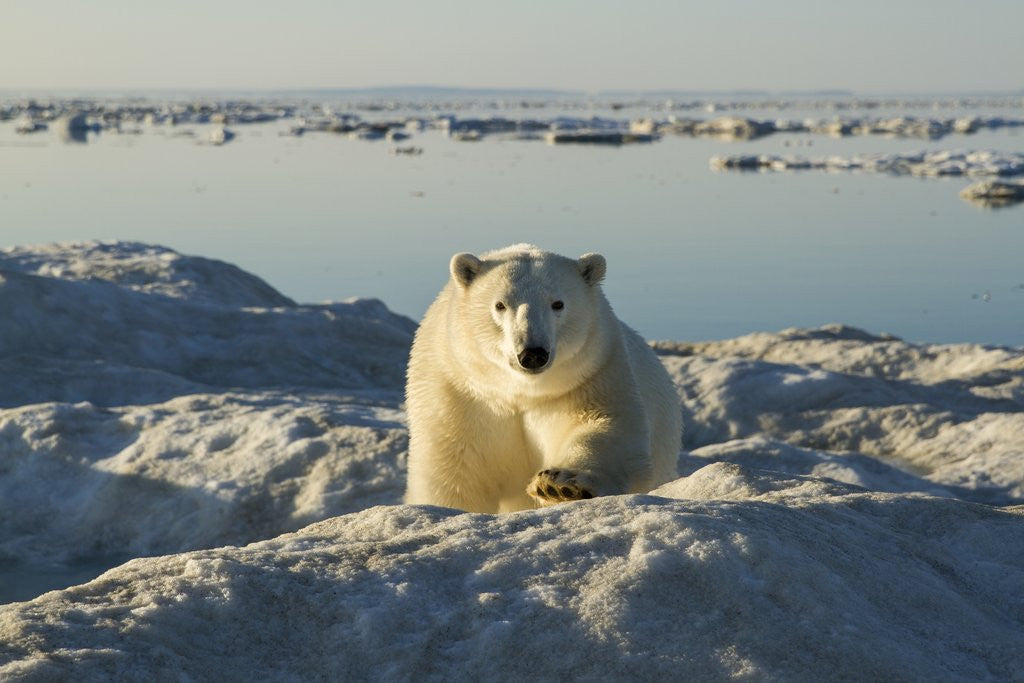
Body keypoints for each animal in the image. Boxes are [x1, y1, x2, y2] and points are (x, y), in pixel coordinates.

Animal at [404, 244, 682, 513]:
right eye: (500, 305)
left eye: (558, 303)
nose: (532, 353)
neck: (521, 392)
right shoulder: (461, 392)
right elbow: (456, 471)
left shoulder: (591, 374)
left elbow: (606, 428)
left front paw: (560, 486)